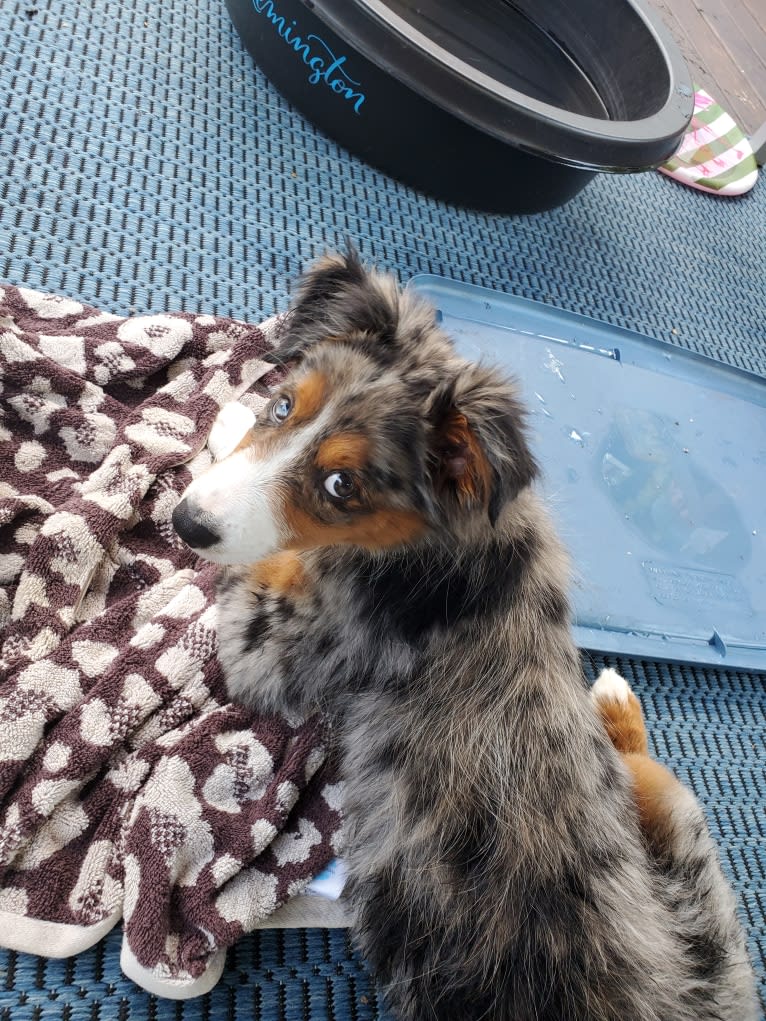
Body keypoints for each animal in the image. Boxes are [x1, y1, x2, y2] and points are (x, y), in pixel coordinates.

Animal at [172, 253, 755, 1021]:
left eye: (340, 485)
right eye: (285, 406)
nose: (185, 521)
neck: (457, 542)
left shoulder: (274, 640)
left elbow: (259, 564)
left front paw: (217, 429)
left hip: (692, 863)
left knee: (662, 783)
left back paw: (613, 700)